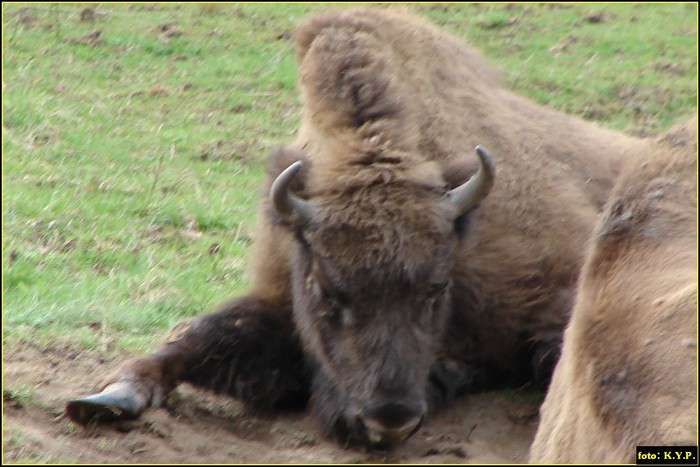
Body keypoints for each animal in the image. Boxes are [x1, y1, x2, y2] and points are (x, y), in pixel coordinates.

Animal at [65, 7, 640, 452]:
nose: (389, 419)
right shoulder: (280, 297)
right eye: (328, 292)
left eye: (437, 288)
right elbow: (200, 336)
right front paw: (108, 399)